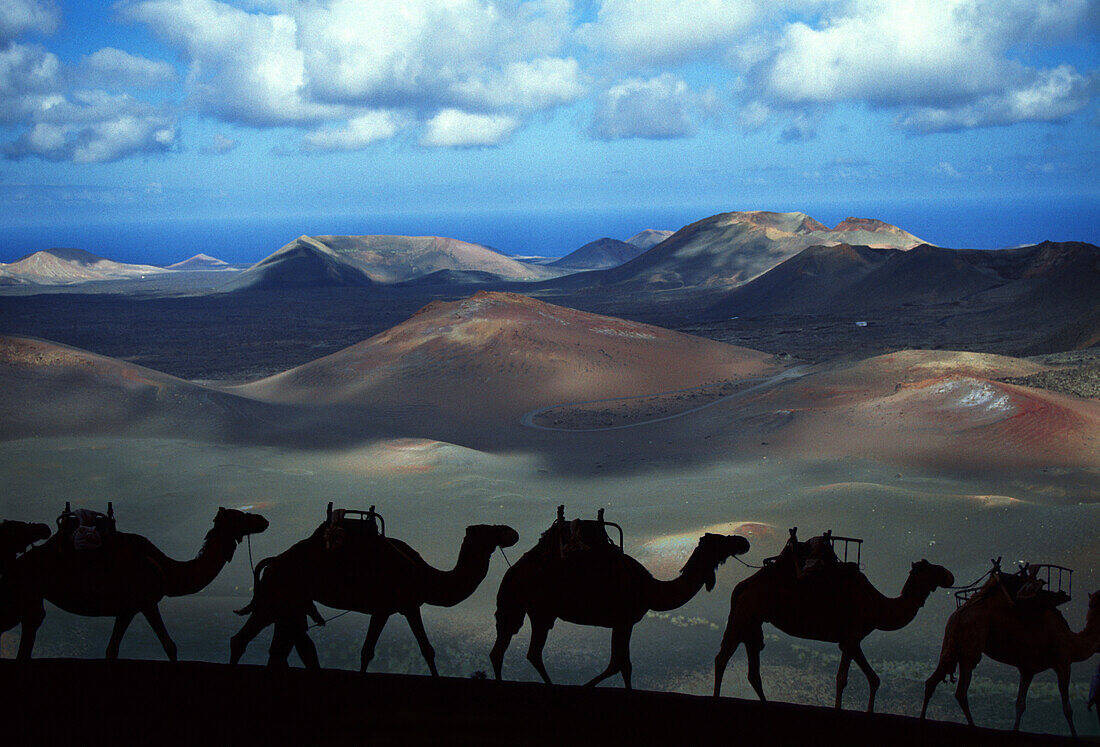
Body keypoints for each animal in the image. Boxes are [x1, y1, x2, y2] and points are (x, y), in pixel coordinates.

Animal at [0, 508, 266, 660]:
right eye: (241, 515)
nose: (263, 520)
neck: (167, 569)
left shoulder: (128, 609)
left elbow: (112, 651)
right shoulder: (146, 602)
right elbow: (170, 646)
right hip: (24, 592)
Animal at [228, 523, 519, 673]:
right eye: (488, 529)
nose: (511, 532)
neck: (423, 574)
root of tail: (273, 561)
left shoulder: (391, 609)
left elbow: (372, 651)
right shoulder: (401, 606)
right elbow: (422, 650)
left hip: (283, 601)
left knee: (274, 644)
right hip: (279, 596)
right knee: (256, 641)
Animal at [490, 523, 748, 686]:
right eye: (721, 541)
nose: (743, 541)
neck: (651, 589)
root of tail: (512, 571)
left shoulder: (623, 623)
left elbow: (620, 664)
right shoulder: (624, 620)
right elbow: (620, 664)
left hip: (524, 609)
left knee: (503, 647)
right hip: (540, 611)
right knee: (530, 651)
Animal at [712, 554, 954, 712]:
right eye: (932, 568)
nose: (949, 575)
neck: (877, 605)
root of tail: (742, 585)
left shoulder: (851, 640)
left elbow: (874, 679)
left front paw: (870, 712)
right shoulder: (852, 636)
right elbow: (842, 679)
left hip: (752, 622)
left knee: (752, 669)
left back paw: (765, 704)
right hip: (746, 615)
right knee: (723, 658)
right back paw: (716, 699)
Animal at [919, 585, 1100, 734]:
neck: (1072, 641)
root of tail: (959, 613)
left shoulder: (1027, 669)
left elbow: (1020, 704)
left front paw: (1015, 730)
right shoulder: (1063, 663)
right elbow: (1067, 708)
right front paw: (1075, 735)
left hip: (950, 642)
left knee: (932, 681)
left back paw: (922, 719)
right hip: (971, 645)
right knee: (961, 690)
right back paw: (973, 726)